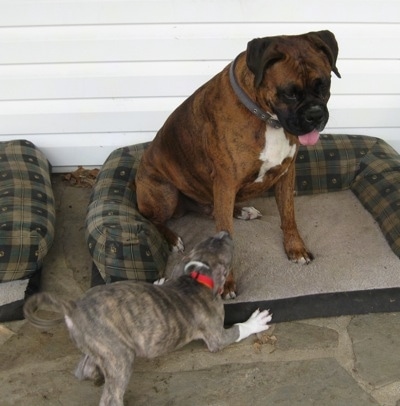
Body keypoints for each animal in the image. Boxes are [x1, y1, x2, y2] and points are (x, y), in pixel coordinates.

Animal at [24, 232, 272, 406]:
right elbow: (238, 329)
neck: (197, 277)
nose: (225, 232)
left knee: (83, 369)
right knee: (110, 397)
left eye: (211, 239)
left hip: (100, 348)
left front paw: (160, 282)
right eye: (226, 249)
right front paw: (255, 321)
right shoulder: (216, 336)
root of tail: (73, 307)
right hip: (120, 355)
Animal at [134, 30, 340, 298]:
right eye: (289, 93)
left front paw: (296, 248)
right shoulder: (225, 183)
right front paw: (227, 283)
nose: (315, 115)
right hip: (165, 193)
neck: (266, 118)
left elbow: (288, 215)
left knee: (212, 210)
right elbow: (226, 232)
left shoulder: (286, 172)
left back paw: (243, 210)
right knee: (153, 218)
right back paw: (172, 238)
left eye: (324, 84)